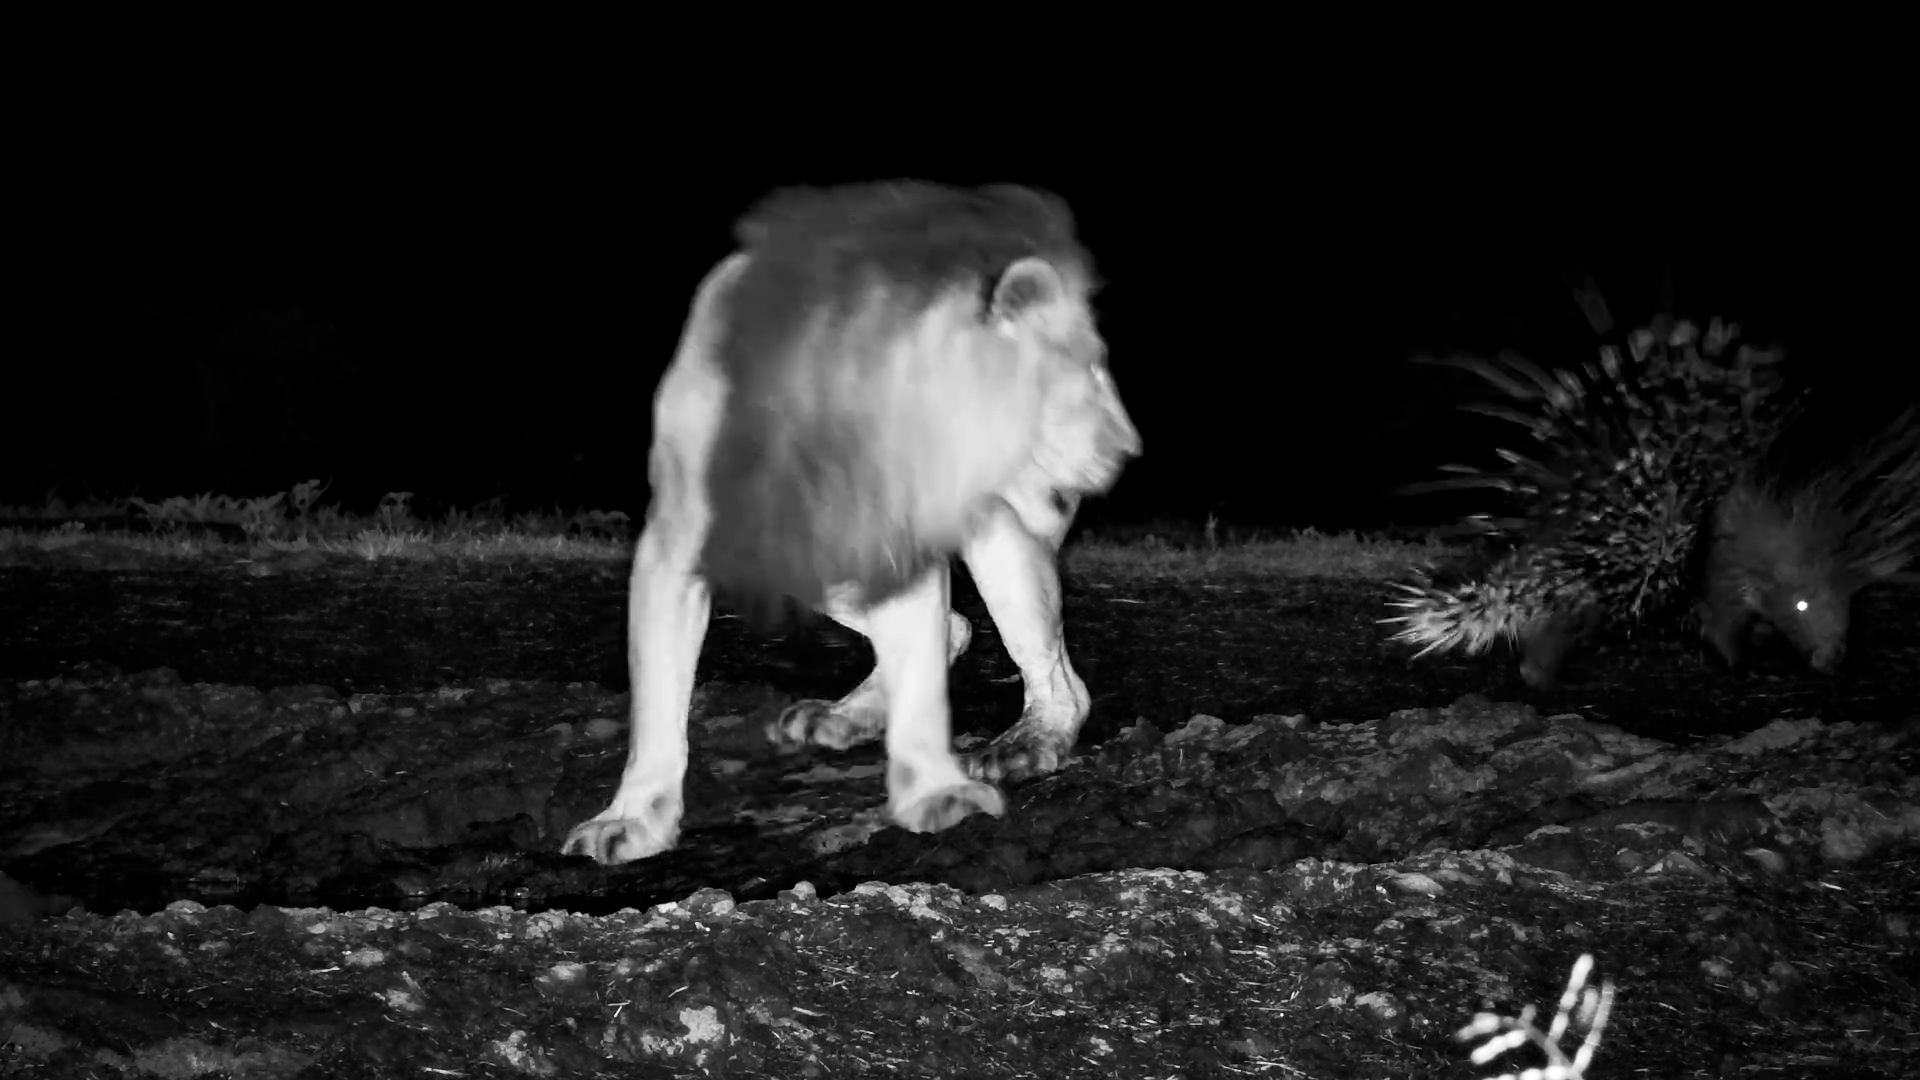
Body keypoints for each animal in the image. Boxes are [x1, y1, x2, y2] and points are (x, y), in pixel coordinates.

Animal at [562, 181, 1140, 866]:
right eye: (1088, 367)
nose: (1130, 449)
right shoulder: (682, 538)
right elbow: (657, 699)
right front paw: (630, 819)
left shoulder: (897, 529)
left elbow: (922, 683)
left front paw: (937, 797)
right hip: (796, 558)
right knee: (952, 627)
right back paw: (844, 716)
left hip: (1000, 537)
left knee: (1053, 676)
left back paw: (1027, 743)